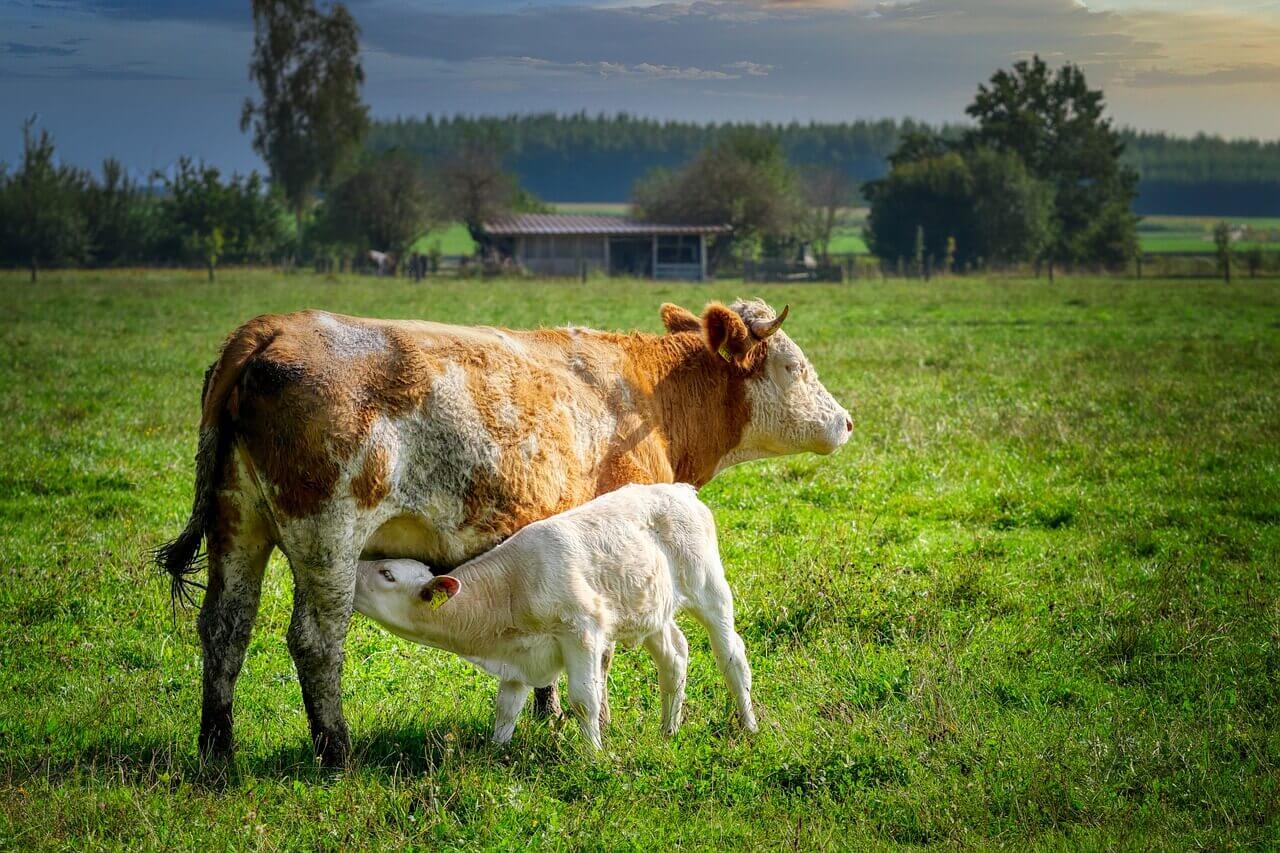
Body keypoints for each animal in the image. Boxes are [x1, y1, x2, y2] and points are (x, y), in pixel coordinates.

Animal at [350, 481, 752, 747]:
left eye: (387, 573)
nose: (352, 573)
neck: (509, 589)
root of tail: (680, 490)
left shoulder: (582, 631)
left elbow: (584, 700)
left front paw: (594, 756)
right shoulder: (517, 658)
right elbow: (506, 707)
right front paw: (496, 753)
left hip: (709, 588)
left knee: (732, 656)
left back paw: (749, 727)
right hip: (650, 608)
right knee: (674, 658)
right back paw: (668, 731)